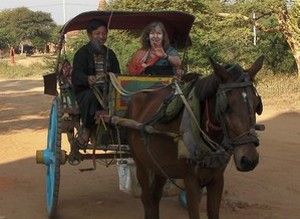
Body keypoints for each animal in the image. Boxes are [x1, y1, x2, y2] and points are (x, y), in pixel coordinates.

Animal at [125, 56, 264, 219]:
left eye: (257, 105)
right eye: (227, 106)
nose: (249, 160)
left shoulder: (217, 179)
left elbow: (214, 213)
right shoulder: (191, 181)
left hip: (159, 166)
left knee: (155, 197)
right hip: (140, 163)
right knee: (146, 198)